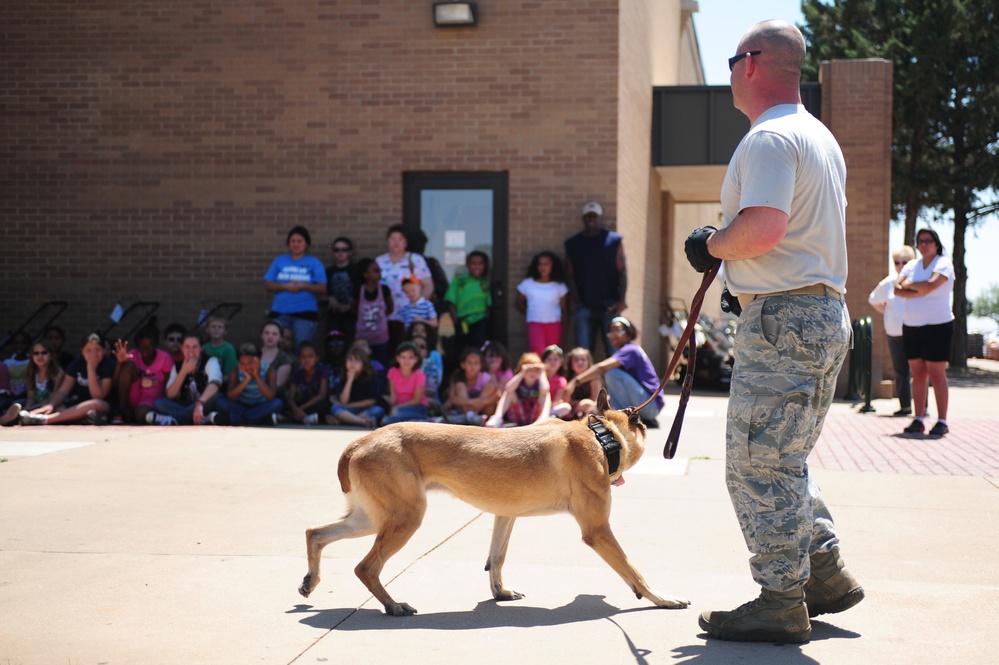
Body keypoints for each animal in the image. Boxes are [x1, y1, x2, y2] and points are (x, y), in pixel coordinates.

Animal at [296, 392, 688, 616]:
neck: (600, 436)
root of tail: (360, 441)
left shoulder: (504, 516)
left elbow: (496, 559)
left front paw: (500, 592)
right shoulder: (598, 530)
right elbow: (634, 570)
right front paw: (661, 598)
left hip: (373, 518)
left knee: (316, 532)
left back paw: (311, 581)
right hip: (404, 519)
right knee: (366, 567)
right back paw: (392, 605)